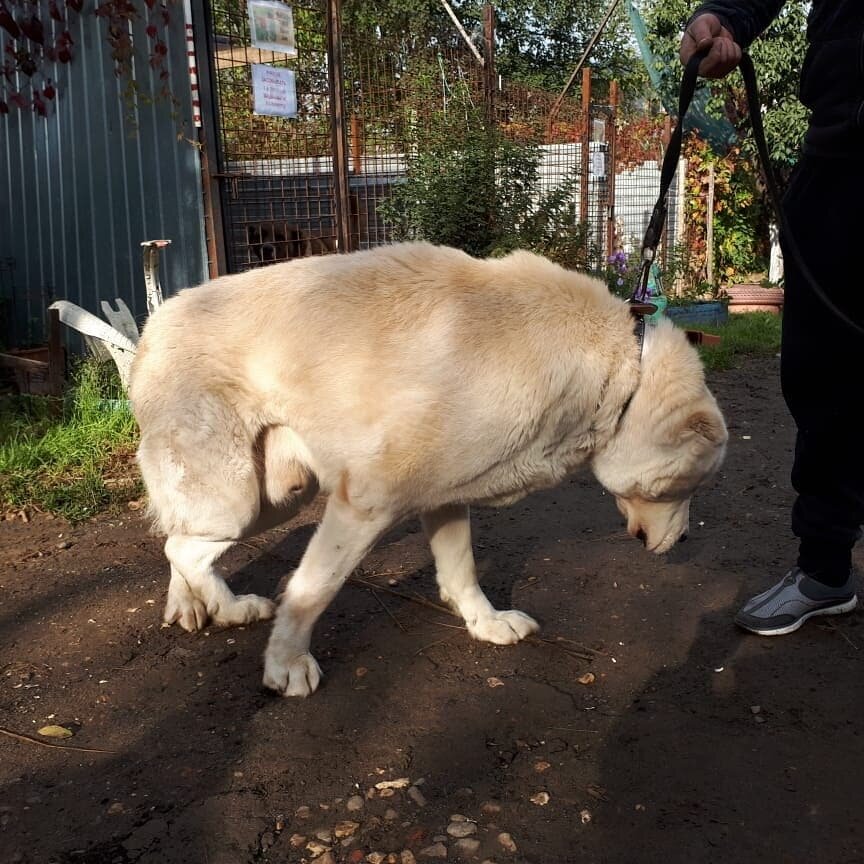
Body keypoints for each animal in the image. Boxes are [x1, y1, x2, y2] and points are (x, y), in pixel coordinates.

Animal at [130, 241, 728, 696]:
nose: (684, 541)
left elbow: (462, 571)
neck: (618, 365)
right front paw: (285, 665)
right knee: (180, 546)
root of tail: (152, 326)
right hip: (238, 501)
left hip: (276, 495)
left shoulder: (444, 500)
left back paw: (194, 606)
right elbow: (311, 591)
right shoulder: (365, 502)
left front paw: (486, 624)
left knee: (179, 540)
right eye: (693, 483)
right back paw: (228, 608)